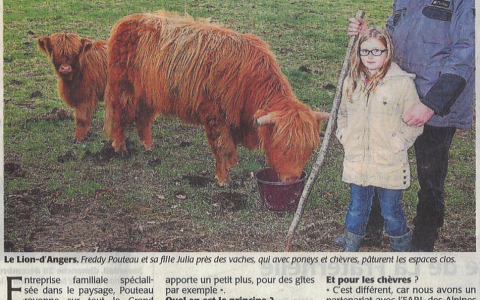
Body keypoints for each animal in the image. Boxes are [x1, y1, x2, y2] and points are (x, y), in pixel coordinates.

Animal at [105, 11, 330, 185]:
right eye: (285, 146)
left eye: (309, 148)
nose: (292, 179)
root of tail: (128, 20)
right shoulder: (215, 116)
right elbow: (222, 146)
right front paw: (224, 179)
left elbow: (230, 146)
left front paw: (231, 165)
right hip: (123, 87)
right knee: (119, 114)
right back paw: (120, 147)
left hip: (149, 93)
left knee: (142, 117)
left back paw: (148, 145)